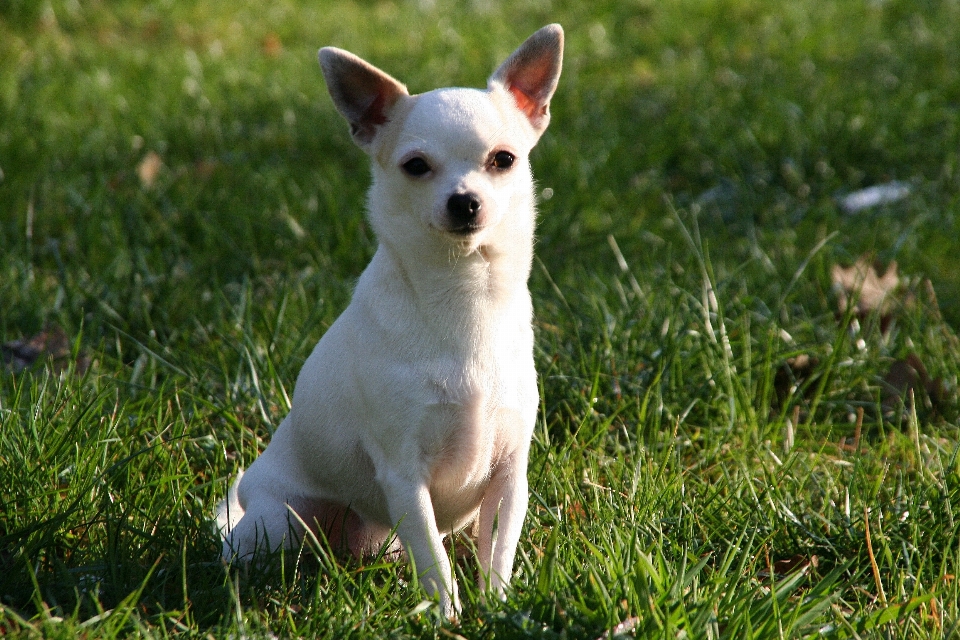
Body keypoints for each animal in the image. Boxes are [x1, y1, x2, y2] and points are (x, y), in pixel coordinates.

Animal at [218, 23, 564, 616]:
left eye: (504, 159)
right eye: (415, 166)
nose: (465, 201)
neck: (463, 297)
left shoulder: (509, 476)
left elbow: (497, 551)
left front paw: (496, 607)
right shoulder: (404, 476)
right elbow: (436, 559)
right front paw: (448, 617)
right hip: (278, 522)